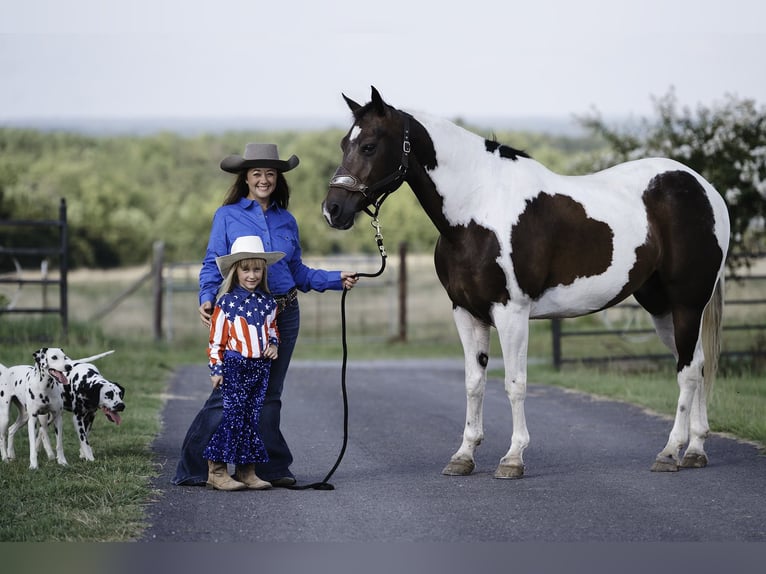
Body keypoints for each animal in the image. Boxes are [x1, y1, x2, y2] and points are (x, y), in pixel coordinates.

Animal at [324, 86, 732, 482]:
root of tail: (704, 188)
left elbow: (514, 383)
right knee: (697, 363)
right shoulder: (466, 312)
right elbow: (474, 383)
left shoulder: (512, 312)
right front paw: (463, 456)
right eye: (345, 143)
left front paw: (513, 458)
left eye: (369, 145)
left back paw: (670, 452)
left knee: (687, 370)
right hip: (661, 306)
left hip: (687, 302)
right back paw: (695, 451)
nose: (333, 210)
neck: (477, 208)